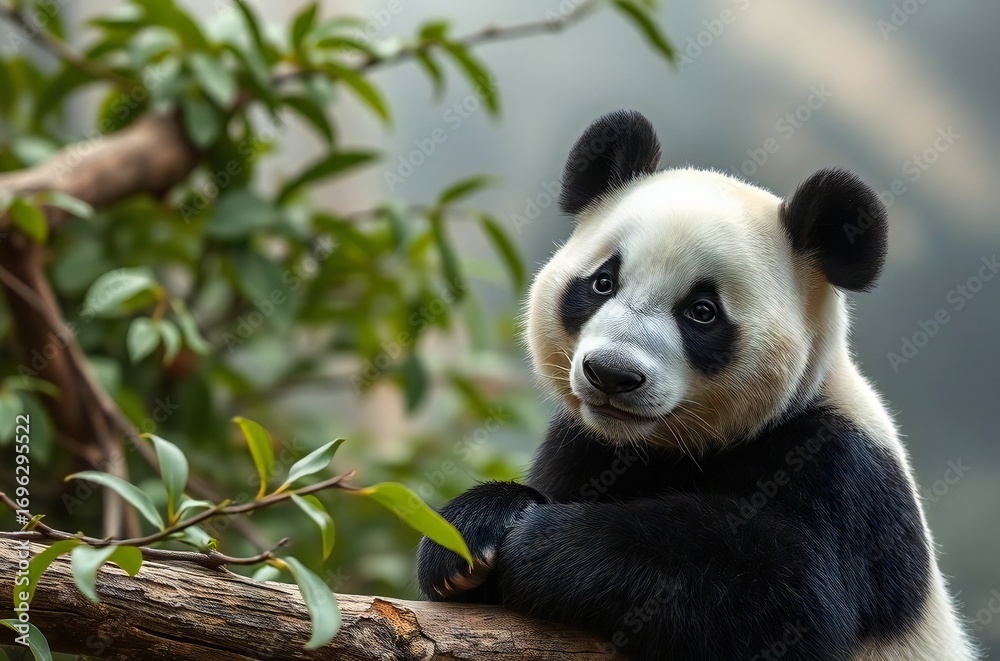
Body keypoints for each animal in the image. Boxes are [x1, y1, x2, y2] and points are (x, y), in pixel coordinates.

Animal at [416, 110, 975, 660]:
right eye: (602, 282)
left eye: (702, 312)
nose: (612, 374)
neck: (666, 447)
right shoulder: (581, 447)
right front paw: (470, 535)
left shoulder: (843, 478)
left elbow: (781, 599)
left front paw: (539, 542)